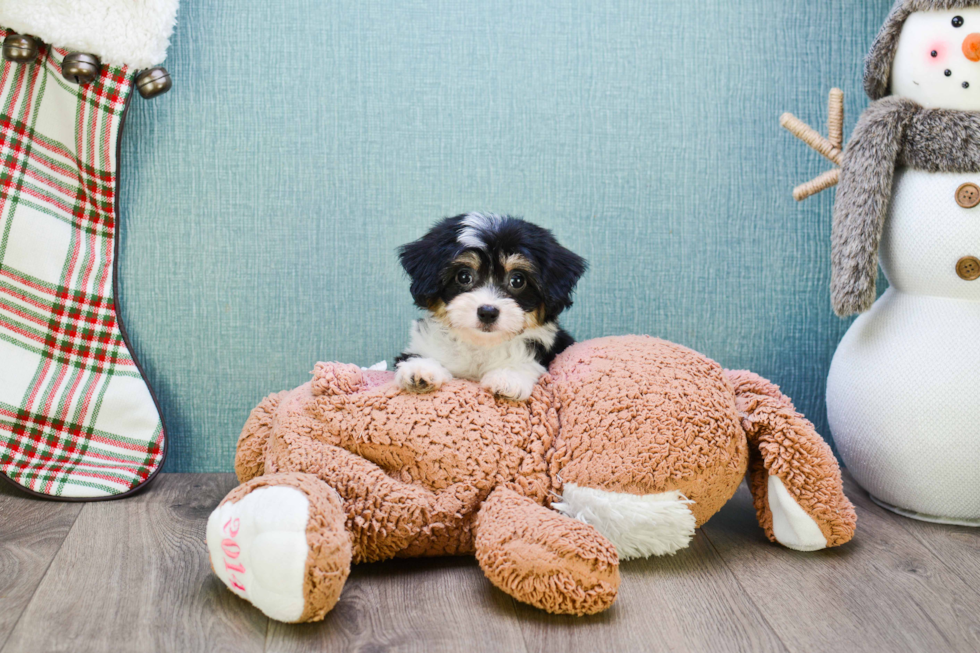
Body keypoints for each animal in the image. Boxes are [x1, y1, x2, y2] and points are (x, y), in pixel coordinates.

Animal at [394, 211, 584, 400]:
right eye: (464, 276)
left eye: (517, 280)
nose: (487, 312)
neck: (481, 345)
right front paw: (421, 368)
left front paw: (509, 377)